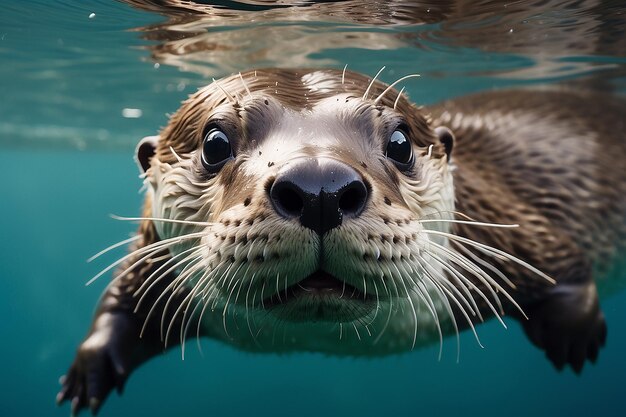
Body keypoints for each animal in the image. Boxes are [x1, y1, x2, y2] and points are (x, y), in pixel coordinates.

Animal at [56, 67, 620, 412]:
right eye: (215, 142)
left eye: (400, 142)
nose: (320, 187)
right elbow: (125, 302)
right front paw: (90, 369)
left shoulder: (505, 221)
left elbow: (561, 262)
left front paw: (575, 336)